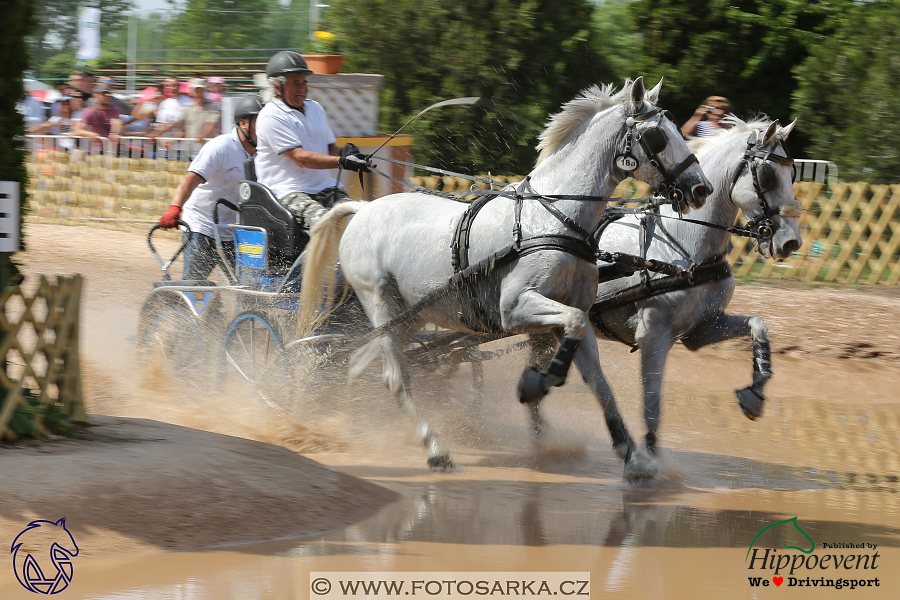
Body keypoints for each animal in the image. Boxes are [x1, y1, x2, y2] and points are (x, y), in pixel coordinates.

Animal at [300, 77, 712, 478]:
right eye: (657, 137)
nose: (700, 188)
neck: (552, 219)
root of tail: (361, 209)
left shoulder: (568, 311)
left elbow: (598, 379)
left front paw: (632, 456)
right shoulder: (515, 309)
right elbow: (573, 331)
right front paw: (536, 384)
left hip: (410, 316)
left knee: (360, 364)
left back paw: (356, 424)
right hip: (381, 303)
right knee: (394, 377)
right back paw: (435, 450)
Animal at [532, 118, 804, 460]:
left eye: (792, 174)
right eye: (766, 175)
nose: (791, 242)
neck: (685, 247)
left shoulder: (700, 329)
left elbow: (759, 325)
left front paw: (754, 393)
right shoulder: (653, 334)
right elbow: (652, 400)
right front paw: (649, 456)